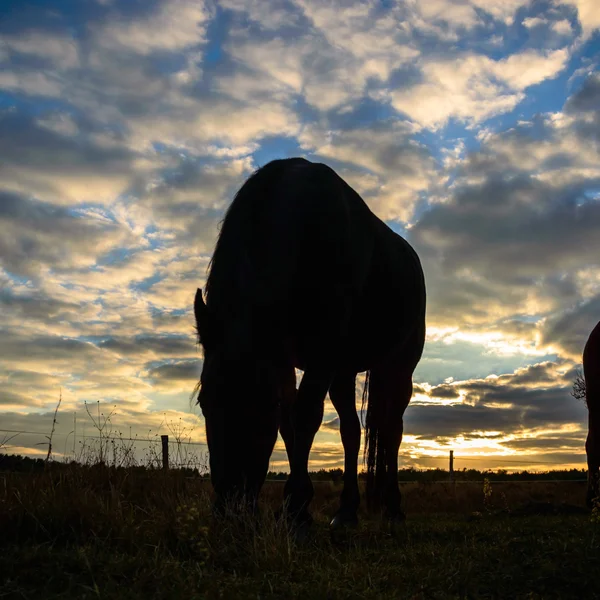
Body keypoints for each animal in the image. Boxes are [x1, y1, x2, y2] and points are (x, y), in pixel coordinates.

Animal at [193, 156, 426, 528]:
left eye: (265, 405)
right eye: (205, 402)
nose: (232, 507)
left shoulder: (320, 352)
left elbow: (303, 416)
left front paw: (296, 507)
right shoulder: (286, 358)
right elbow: (291, 424)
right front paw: (298, 504)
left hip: (398, 369)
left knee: (392, 432)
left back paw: (393, 507)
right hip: (344, 370)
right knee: (351, 431)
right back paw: (346, 512)